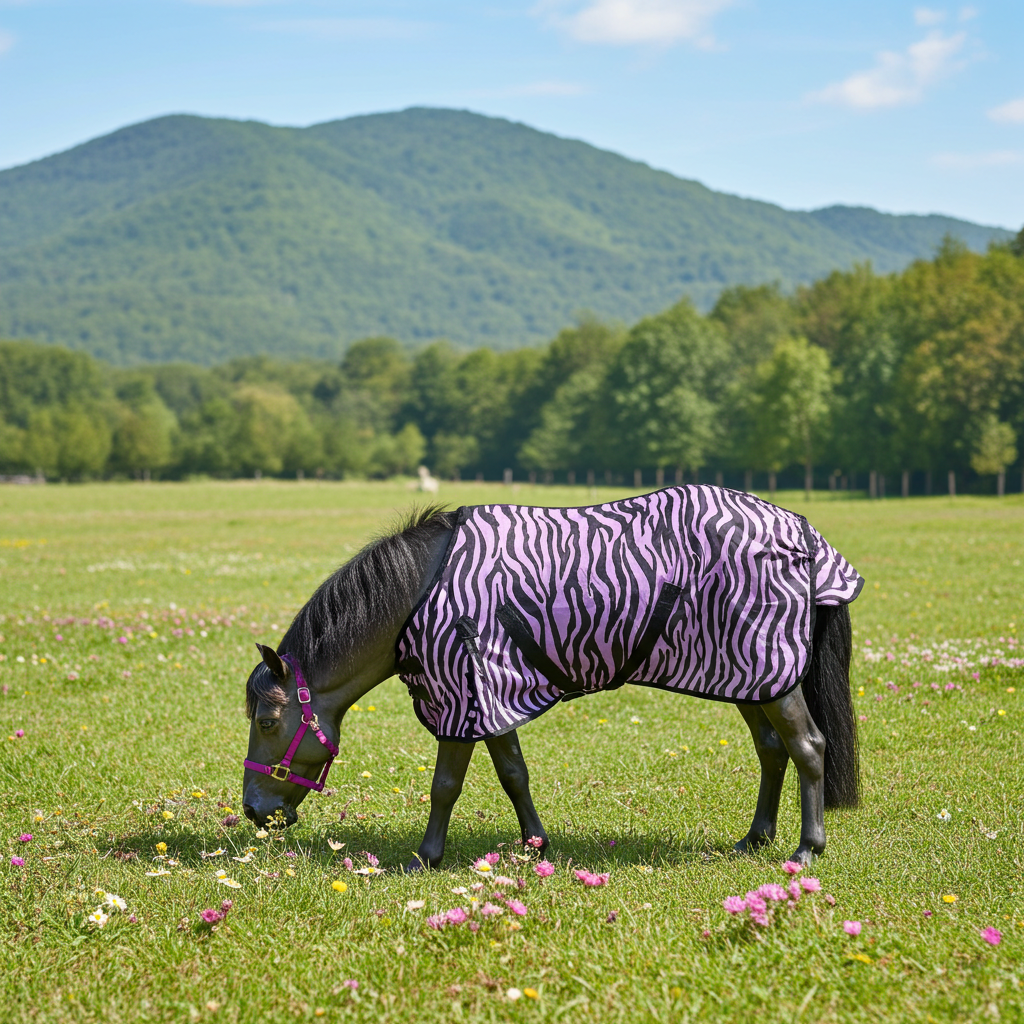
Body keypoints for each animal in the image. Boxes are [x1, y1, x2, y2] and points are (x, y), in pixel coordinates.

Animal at [242, 485, 862, 869]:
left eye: (268, 721)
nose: (252, 811)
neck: (422, 595)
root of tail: (800, 529)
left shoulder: (461, 693)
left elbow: (446, 784)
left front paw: (426, 857)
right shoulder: (489, 694)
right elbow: (514, 774)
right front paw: (535, 845)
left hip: (772, 675)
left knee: (808, 746)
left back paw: (806, 849)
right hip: (748, 677)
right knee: (772, 750)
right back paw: (755, 839)